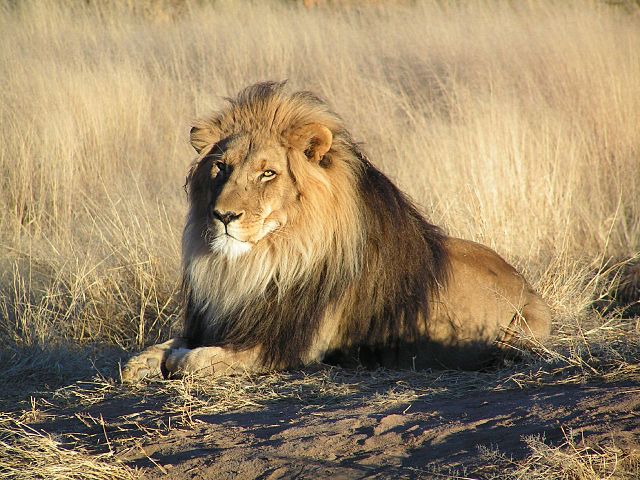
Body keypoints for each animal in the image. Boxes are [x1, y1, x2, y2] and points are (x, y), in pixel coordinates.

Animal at [122, 81, 551, 382]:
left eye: (267, 173)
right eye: (221, 167)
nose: (223, 215)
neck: (260, 263)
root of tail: (526, 283)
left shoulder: (287, 346)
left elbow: (193, 360)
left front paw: (176, 360)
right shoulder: (218, 321)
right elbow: (160, 348)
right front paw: (143, 362)